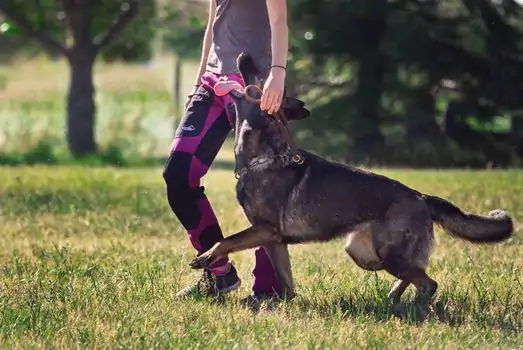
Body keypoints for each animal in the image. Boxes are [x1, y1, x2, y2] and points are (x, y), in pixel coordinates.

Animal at [189, 53, 516, 304]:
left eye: (259, 75)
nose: (244, 55)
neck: (264, 155)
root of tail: (421, 196)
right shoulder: (274, 239)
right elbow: (286, 281)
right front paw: (282, 303)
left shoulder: (265, 229)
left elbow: (226, 240)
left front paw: (205, 257)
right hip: (365, 254)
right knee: (416, 273)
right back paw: (394, 299)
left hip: (388, 254)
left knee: (428, 282)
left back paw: (415, 309)